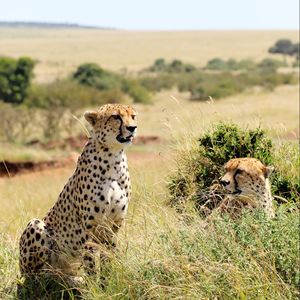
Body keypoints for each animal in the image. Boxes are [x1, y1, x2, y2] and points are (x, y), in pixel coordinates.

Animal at [19, 104, 139, 278]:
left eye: (133, 116)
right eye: (116, 117)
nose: (132, 128)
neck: (113, 157)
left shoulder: (113, 225)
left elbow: (108, 256)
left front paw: (108, 279)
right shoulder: (90, 228)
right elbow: (91, 262)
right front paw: (95, 284)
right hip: (36, 225)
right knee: (34, 277)